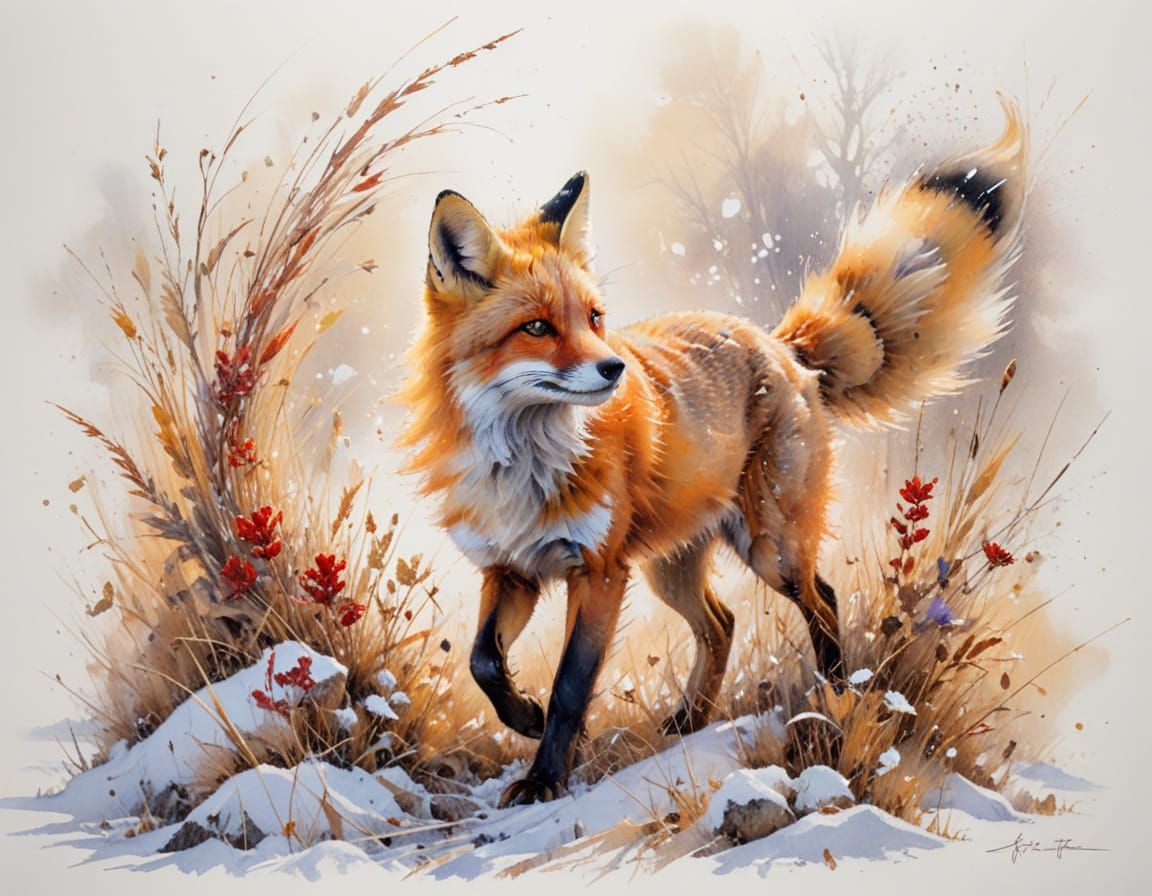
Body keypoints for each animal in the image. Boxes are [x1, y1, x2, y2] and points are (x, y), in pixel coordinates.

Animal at [398, 99, 1026, 807]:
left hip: (770, 549)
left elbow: (570, 687)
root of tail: (780, 343)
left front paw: (545, 777)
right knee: (721, 622)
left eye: (593, 317)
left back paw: (836, 698)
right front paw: (523, 718)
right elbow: (483, 662)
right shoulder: (511, 569)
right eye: (536, 327)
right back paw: (691, 720)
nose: (614, 369)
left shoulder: (599, 572)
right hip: (671, 567)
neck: (523, 467)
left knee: (823, 599)